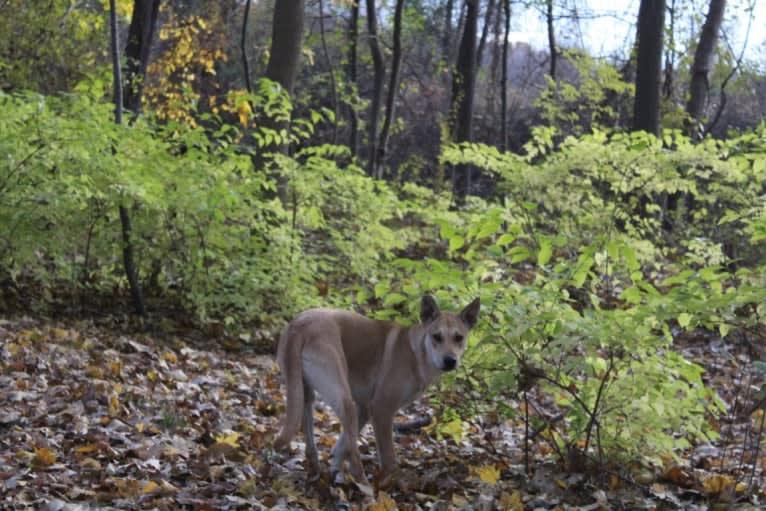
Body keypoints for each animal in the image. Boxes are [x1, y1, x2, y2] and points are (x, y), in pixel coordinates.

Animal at [274, 296, 480, 484]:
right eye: (437, 336)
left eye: (459, 338)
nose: (450, 360)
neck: (417, 353)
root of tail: (300, 325)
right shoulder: (381, 409)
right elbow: (388, 459)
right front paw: (389, 484)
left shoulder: (364, 409)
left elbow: (341, 446)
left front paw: (335, 470)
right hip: (343, 399)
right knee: (355, 456)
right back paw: (365, 487)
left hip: (304, 395)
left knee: (311, 443)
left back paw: (317, 471)